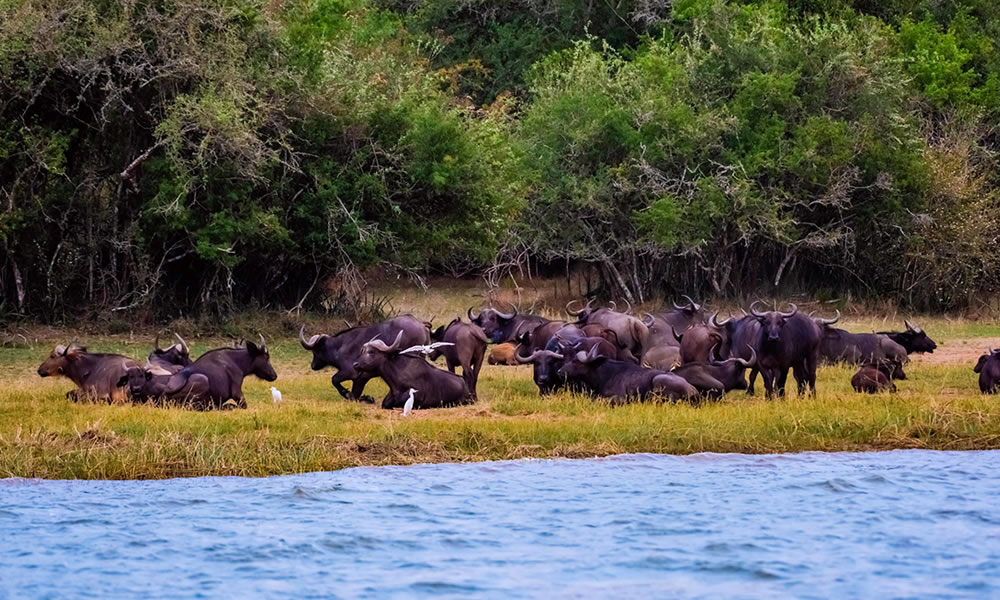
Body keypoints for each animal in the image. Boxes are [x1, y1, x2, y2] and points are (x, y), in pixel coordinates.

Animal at [292, 314, 426, 404]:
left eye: (315, 351)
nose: (313, 366)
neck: (339, 347)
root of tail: (421, 325)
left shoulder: (350, 372)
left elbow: (334, 380)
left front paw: (346, 393)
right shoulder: (361, 379)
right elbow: (355, 395)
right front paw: (367, 398)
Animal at [560, 342, 700, 404]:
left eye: (575, 361)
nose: (560, 371)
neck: (604, 375)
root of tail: (693, 390)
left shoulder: (620, 398)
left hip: (658, 380)